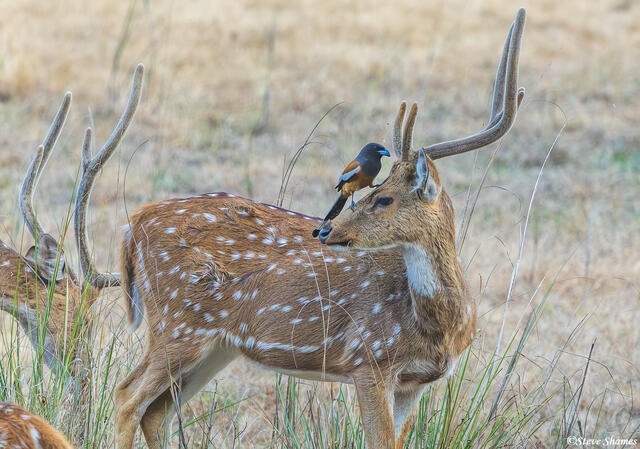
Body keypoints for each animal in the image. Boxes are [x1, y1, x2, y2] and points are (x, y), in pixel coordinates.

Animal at [114, 9, 526, 449]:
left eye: (384, 198)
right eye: (372, 191)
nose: (327, 232)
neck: (437, 326)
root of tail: (133, 225)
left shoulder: (414, 383)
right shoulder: (368, 359)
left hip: (215, 346)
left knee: (155, 411)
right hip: (177, 323)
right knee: (126, 396)